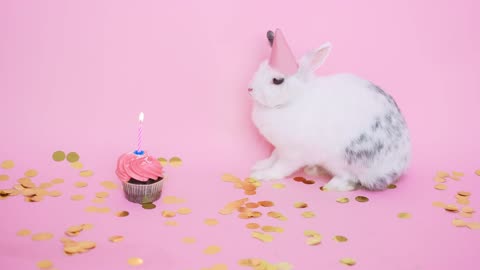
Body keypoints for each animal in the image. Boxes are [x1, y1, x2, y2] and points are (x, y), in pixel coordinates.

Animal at [249, 28, 410, 191]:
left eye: (277, 80)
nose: (250, 89)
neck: (292, 100)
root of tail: (400, 166)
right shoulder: (280, 147)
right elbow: (273, 156)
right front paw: (259, 165)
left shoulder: (293, 153)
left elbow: (281, 167)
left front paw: (263, 175)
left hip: (341, 160)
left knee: (349, 178)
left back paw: (332, 185)